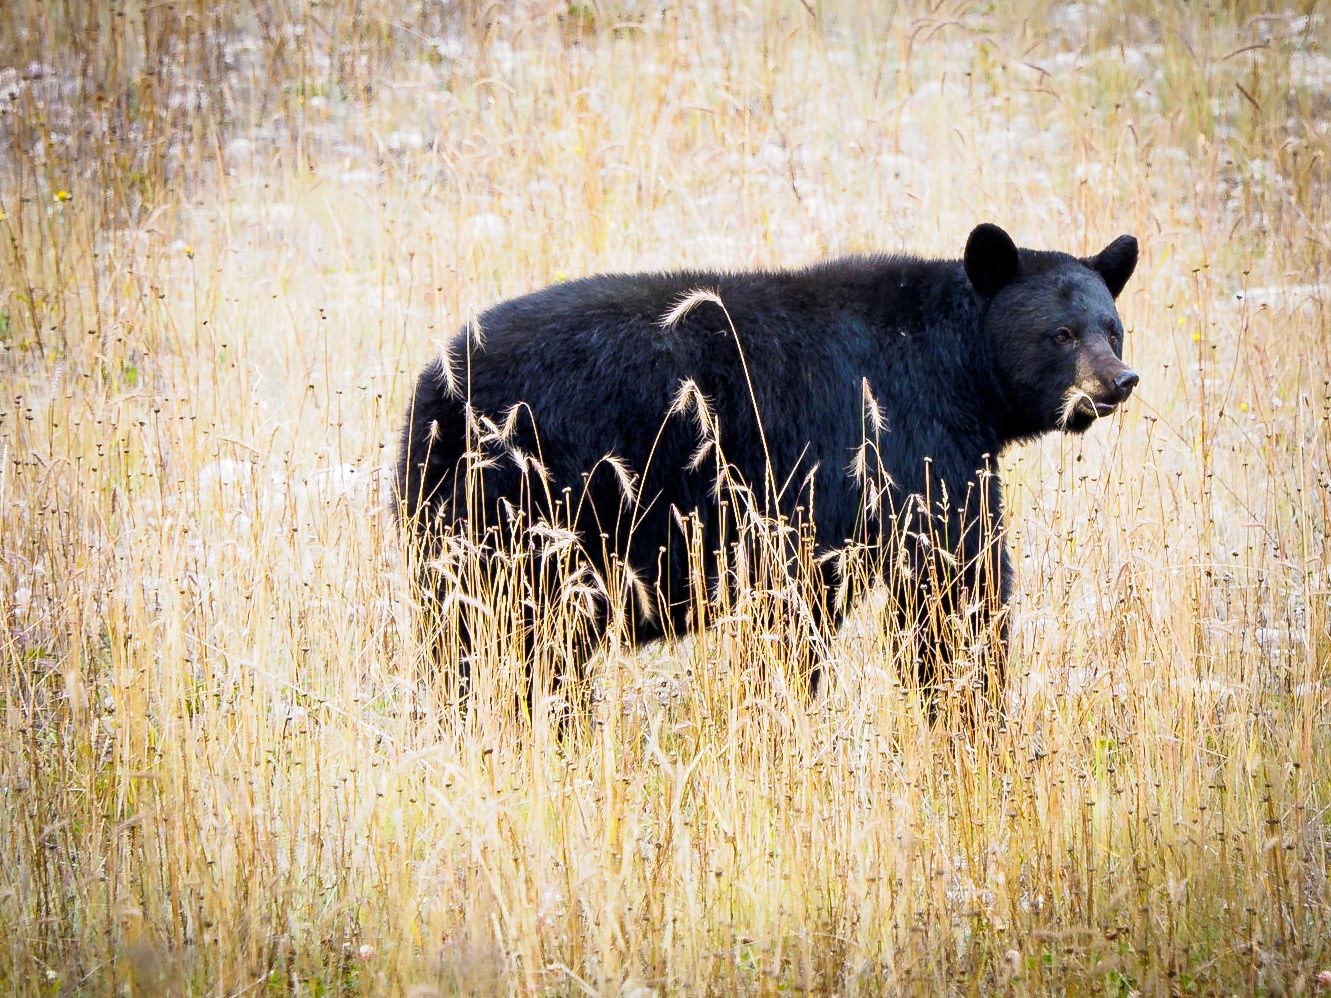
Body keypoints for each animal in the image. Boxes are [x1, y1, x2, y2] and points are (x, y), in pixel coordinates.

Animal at [398, 222, 1139, 718]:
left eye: (1113, 327)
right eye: (1060, 334)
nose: (1118, 381)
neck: (956, 367)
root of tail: (437, 385)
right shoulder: (895, 444)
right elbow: (947, 580)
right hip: (527, 511)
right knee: (514, 638)